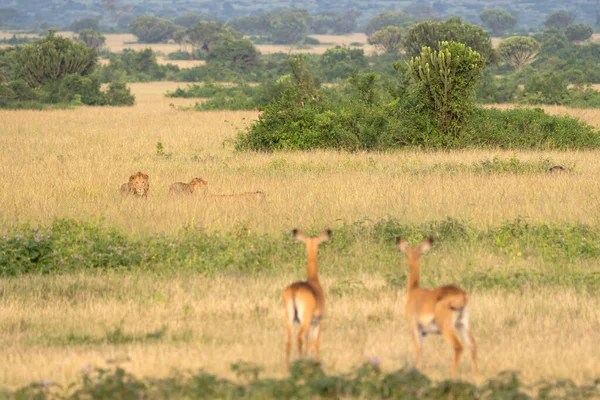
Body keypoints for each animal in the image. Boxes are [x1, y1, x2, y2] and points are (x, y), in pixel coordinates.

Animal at [282, 228, 330, 368]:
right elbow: (315, 343)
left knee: (288, 342)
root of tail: (294, 289)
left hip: (289, 319)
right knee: (300, 338)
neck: (313, 281)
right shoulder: (318, 321)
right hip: (305, 320)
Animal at [398, 238, 478, 378]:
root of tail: (463, 295)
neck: (414, 291)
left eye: (407, 253)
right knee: (473, 345)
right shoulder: (424, 332)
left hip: (447, 327)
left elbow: (418, 349)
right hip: (462, 324)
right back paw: (476, 375)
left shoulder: (414, 327)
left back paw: (451, 375)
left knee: (459, 346)